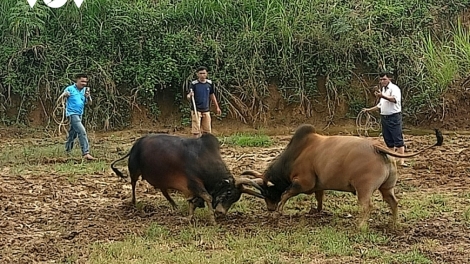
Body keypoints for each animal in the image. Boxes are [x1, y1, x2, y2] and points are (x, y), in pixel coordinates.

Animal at [111, 133, 262, 224]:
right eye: (229, 193)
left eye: (235, 198)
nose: (221, 212)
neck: (203, 160)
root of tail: (136, 144)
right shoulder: (193, 183)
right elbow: (207, 197)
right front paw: (212, 220)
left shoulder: (192, 189)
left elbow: (193, 202)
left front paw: (189, 217)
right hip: (134, 171)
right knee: (133, 184)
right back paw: (134, 202)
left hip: (161, 178)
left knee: (164, 191)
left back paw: (174, 205)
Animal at [242, 125, 444, 228]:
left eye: (267, 192)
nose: (269, 208)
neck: (294, 154)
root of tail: (377, 147)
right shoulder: (318, 185)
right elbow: (319, 197)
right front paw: (317, 211)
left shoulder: (303, 183)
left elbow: (285, 194)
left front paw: (277, 214)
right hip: (387, 188)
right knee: (393, 203)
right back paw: (394, 225)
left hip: (364, 189)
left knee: (367, 206)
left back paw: (360, 227)